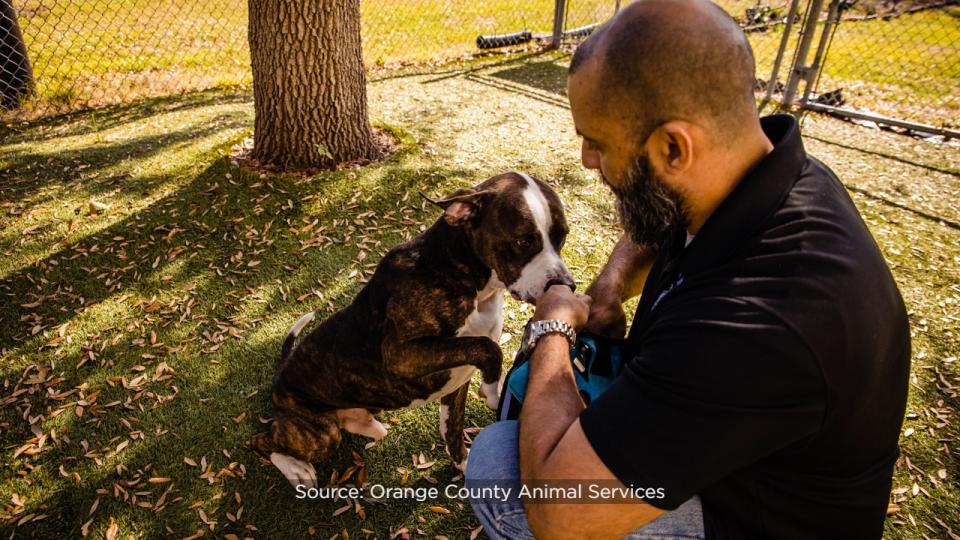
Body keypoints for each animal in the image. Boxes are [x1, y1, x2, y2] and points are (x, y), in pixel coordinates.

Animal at [251, 173, 572, 490]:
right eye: (524, 240)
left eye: (562, 237)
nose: (566, 285)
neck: (466, 278)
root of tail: (279, 381)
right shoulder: (400, 355)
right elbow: (486, 346)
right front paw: (493, 392)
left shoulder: (455, 386)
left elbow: (453, 431)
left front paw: (466, 464)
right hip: (321, 433)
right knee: (261, 442)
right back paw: (296, 470)